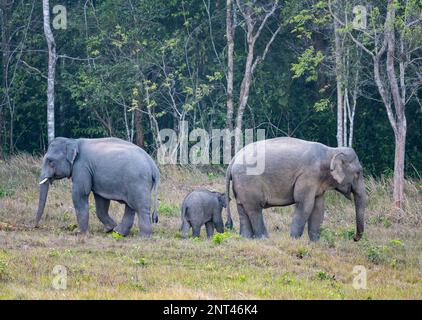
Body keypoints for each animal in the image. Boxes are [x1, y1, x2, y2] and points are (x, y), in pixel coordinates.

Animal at [224, 136, 366, 241]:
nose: (354, 238)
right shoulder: (308, 175)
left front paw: (315, 243)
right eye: (358, 173)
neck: (331, 151)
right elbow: (305, 205)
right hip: (249, 182)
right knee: (255, 209)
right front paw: (294, 240)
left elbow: (318, 208)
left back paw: (245, 238)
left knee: (242, 209)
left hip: (241, 185)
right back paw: (264, 238)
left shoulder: (317, 182)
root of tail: (234, 159)